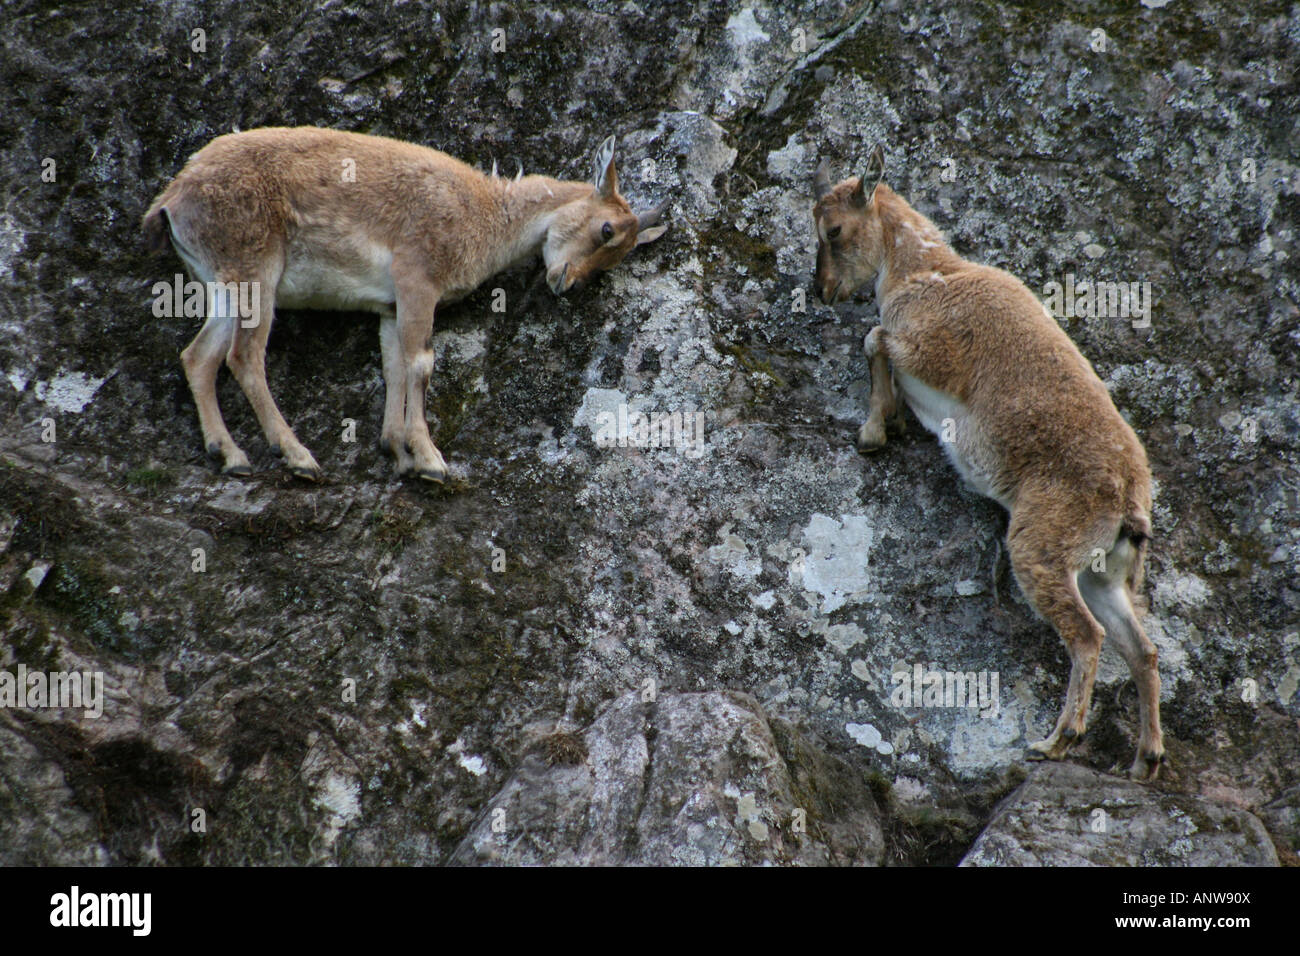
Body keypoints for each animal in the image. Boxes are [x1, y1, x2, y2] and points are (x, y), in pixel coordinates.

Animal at [143, 127, 668, 481]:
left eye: (614, 260)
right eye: (606, 229)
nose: (567, 283)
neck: (482, 215)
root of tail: (171, 200)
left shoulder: (389, 306)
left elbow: (394, 366)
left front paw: (396, 453)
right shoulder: (417, 277)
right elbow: (421, 363)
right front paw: (431, 461)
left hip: (222, 285)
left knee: (199, 356)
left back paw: (230, 455)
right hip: (254, 272)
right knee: (244, 357)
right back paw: (297, 456)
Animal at [812, 147, 1164, 780]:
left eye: (833, 231)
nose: (822, 289)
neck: (929, 273)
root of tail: (1130, 501)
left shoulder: (931, 348)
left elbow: (874, 338)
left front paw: (875, 429)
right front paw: (890, 419)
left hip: (1041, 545)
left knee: (1088, 636)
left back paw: (1058, 740)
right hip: (1101, 572)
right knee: (1141, 649)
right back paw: (1145, 759)